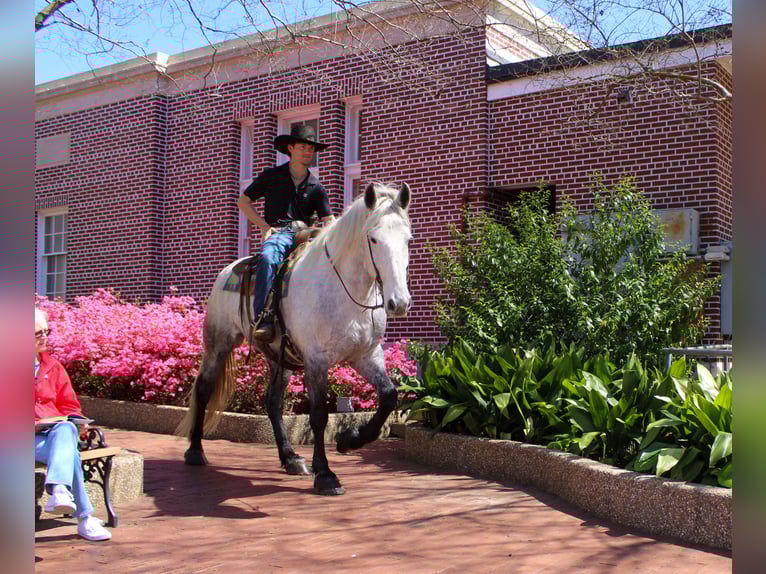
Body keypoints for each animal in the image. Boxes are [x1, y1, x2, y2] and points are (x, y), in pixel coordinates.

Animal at [176, 182, 412, 495]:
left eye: (408, 239)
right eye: (373, 239)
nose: (399, 303)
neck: (346, 291)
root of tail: (228, 270)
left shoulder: (367, 355)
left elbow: (388, 396)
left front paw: (348, 440)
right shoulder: (316, 360)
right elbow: (319, 415)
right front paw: (325, 474)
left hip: (280, 357)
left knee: (273, 402)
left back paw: (290, 458)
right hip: (219, 343)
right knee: (203, 389)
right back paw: (195, 451)